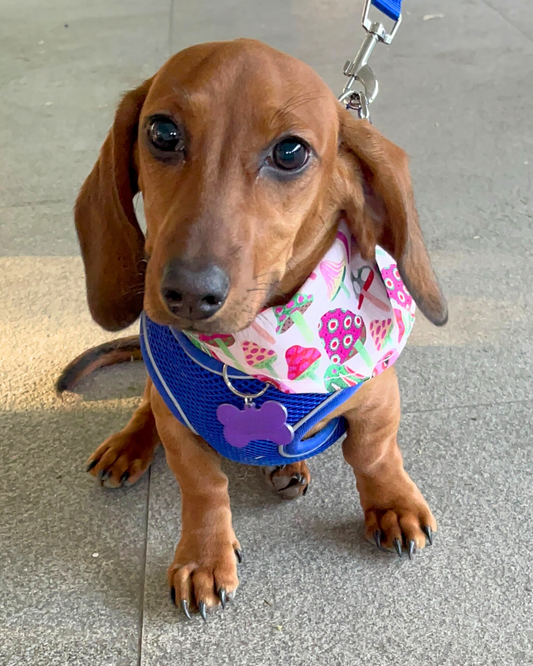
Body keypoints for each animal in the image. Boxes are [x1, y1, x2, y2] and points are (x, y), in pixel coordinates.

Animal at [60, 37, 446, 616]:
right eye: (162, 132)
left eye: (291, 152)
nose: (188, 293)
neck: (252, 362)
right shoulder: (181, 428)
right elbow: (202, 487)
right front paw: (203, 557)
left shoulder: (378, 396)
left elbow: (373, 454)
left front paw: (392, 503)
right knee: (146, 404)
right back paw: (128, 444)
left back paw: (290, 467)